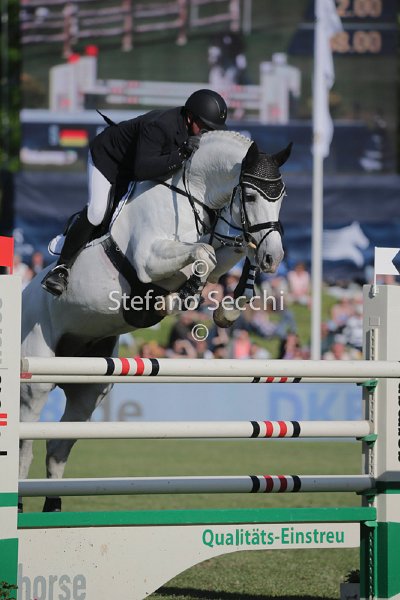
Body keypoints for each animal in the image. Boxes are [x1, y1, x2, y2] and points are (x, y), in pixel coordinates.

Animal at [19, 130, 291, 511]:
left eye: (281, 197)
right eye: (250, 195)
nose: (274, 257)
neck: (191, 194)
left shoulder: (222, 251)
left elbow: (229, 252)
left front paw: (227, 307)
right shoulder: (150, 260)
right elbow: (203, 253)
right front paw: (187, 293)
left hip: (89, 388)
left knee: (57, 448)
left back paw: (54, 511)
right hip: (36, 381)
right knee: (25, 445)